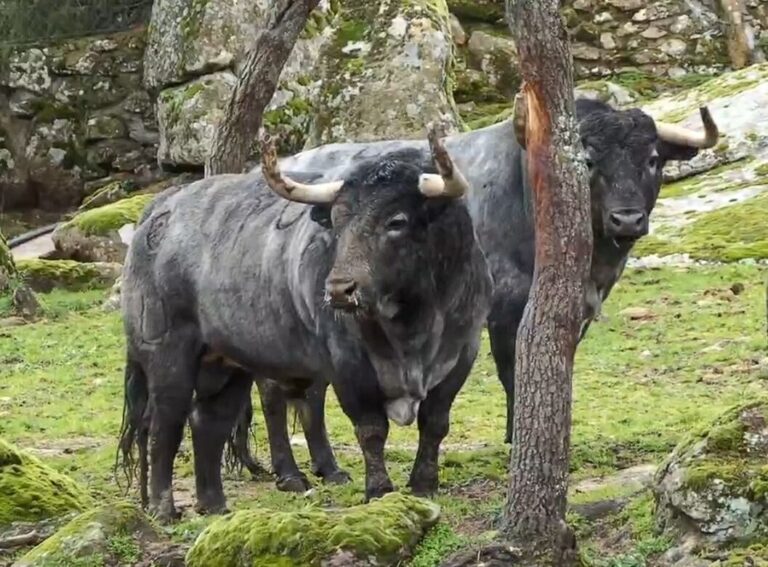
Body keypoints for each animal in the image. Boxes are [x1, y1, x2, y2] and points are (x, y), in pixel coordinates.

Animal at [117, 127, 494, 522]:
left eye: (397, 221)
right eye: (338, 222)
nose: (339, 289)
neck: (413, 325)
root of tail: (159, 210)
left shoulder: (462, 352)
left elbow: (435, 422)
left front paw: (424, 483)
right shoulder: (348, 365)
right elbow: (371, 428)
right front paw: (379, 490)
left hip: (227, 362)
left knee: (208, 421)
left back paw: (215, 505)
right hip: (167, 355)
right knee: (164, 424)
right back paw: (164, 507)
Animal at [228, 97, 720, 470]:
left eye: (652, 159)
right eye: (588, 160)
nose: (628, 219)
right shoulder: (506, 311)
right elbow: (513, 370)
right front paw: (515, 436)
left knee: (308, 392)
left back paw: (324, 467)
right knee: (275, 392)